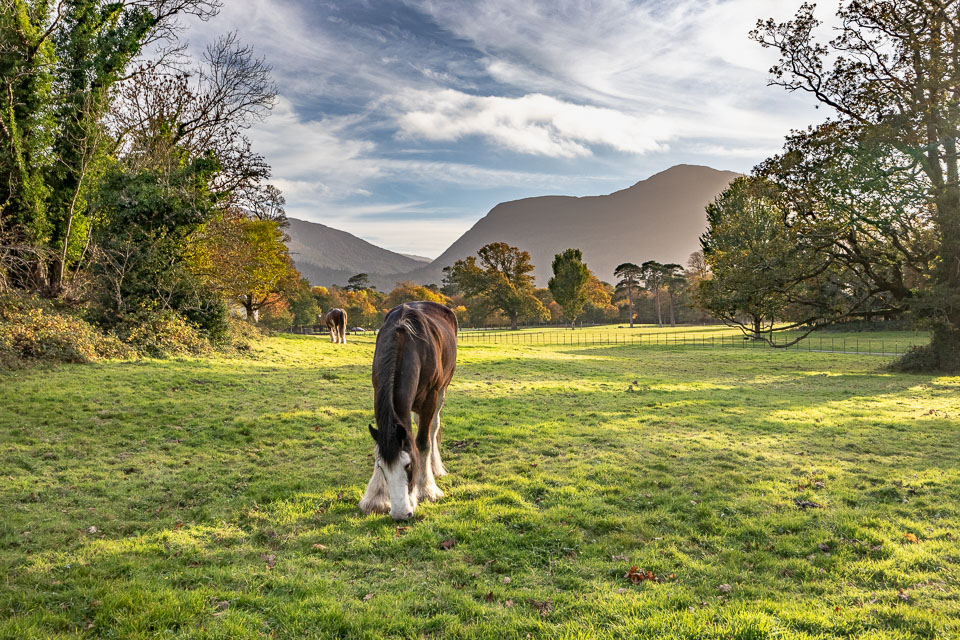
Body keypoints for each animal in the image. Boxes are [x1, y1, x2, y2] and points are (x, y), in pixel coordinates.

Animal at [359, 301, 458, 520]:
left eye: (409, 465)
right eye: (381, 468)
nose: (400, 514)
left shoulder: (430, 398)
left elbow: (422, 444)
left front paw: (426, 490)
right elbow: (381, 446)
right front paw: (376, 497)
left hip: (441, 391)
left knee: (432, 429)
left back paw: (434, 469)